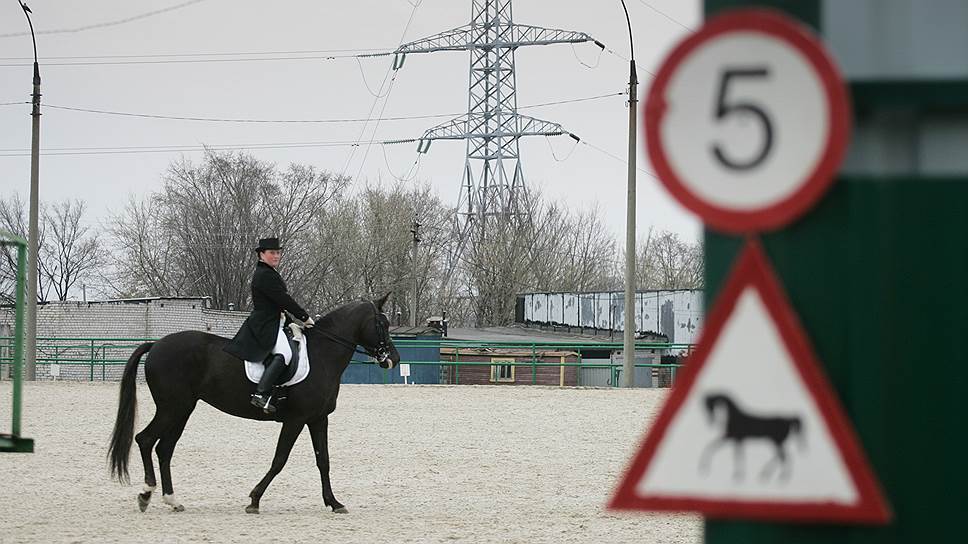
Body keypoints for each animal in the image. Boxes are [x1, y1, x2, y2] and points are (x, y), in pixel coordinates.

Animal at [104, 296, 396, 512]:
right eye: (382, 323)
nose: (392, 358)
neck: (321, 355)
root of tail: (156, 344)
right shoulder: (296, 419)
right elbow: (279, 460)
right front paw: (254, 499)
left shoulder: (317, 418)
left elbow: (323, 460)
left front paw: (334, 503)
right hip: (171, 407)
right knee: (145, 440)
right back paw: (146, 494)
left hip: (182, 409)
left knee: (164, 448)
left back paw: (172, 500)